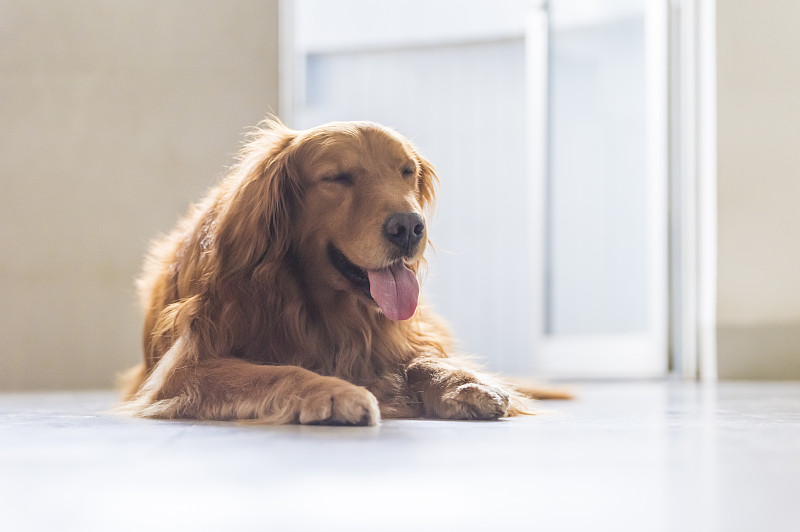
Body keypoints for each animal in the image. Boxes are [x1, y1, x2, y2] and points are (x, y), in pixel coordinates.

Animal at [120, 118, 564, 426]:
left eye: (407, 171)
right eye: (337, 177)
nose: (409, 227)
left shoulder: (394, 338)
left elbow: (421, 359)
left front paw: (463, 382)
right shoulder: (186, 367)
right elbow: (276, 372)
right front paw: (336, 392)